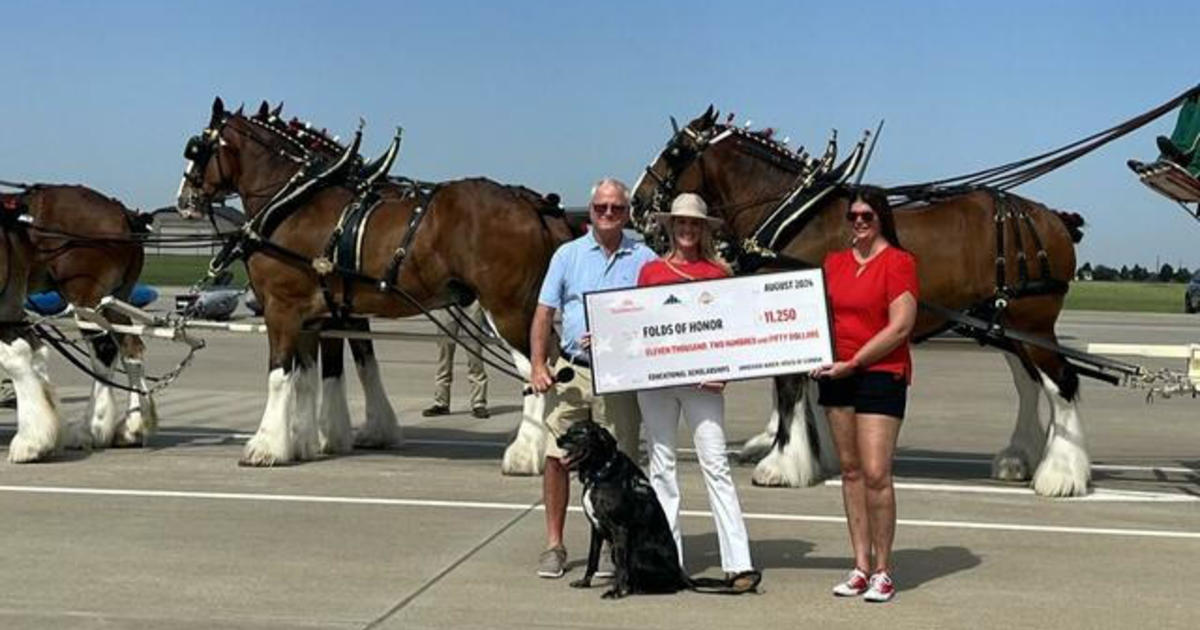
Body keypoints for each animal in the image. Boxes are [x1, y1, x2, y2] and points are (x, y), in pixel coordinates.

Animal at [0, 182, 154, 460]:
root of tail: (121, 212)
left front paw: (32, 440)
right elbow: (33, 355)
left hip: (88, 300)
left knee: (105, 349)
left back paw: (94, 427)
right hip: (115, 300)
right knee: (130, 346)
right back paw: (131, 426)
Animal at [175, 96, 573, 463]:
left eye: (197, 147)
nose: (183, 199)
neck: (294, 201)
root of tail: (533, 203)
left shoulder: (281, 308)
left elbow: (281, 374)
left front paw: (266, 446)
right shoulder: (320, 315)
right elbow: (318, 375)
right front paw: (304, 441)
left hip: (506, 310)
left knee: (536, 367)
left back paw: (525, 454)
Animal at [554, 420, 758, 597]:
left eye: (580, 432)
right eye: (569, 429)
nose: (558, 440)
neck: (600, 473)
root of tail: (681, 574)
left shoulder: (620, 529)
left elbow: (620, 566)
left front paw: (617, 591)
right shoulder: (596, 528)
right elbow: (592, 559)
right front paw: (585, 582)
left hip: (637, 554)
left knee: (669, 587)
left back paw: (636, 589)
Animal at [628, 108, 1089, 496]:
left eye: (674, 151)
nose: (636, 204)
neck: (793, 215)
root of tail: (1053, 218)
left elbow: (789, 388)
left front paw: (781, 465)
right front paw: (822, 456)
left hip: (1030, 324)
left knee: (1061, 384)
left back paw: (1061, 474)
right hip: (1005, 325)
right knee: (1030, 385)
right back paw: (1020, 458)